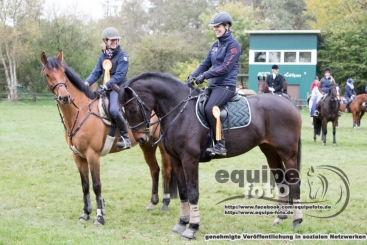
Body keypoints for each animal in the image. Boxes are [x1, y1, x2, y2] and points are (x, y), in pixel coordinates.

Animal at [41, 51, 178, 226]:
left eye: (63, 73)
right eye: (47, 74)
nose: (64, 97)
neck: (80, 112)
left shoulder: (92, 155)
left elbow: (96, 185)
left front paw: (99, 216)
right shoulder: (78, 156)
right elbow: (85, 185)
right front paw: (85, 213)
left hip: (161, 144)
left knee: (166, 170)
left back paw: (165, 203)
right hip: (146, 144)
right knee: (154, 169)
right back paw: (152, 203)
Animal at [113, 72, 304, 239]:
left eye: (133, 108)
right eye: (122, 111)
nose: (141, 139)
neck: (179, 111)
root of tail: (290, 105)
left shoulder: (189, 159)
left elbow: (193, 192)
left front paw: (192, 228)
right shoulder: (176, 159)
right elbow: (183, 191)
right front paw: (182, 223)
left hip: (287, 153)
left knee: (294, 183)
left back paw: (297, 221)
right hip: (270, 151)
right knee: (281, 181)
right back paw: (280, 218)